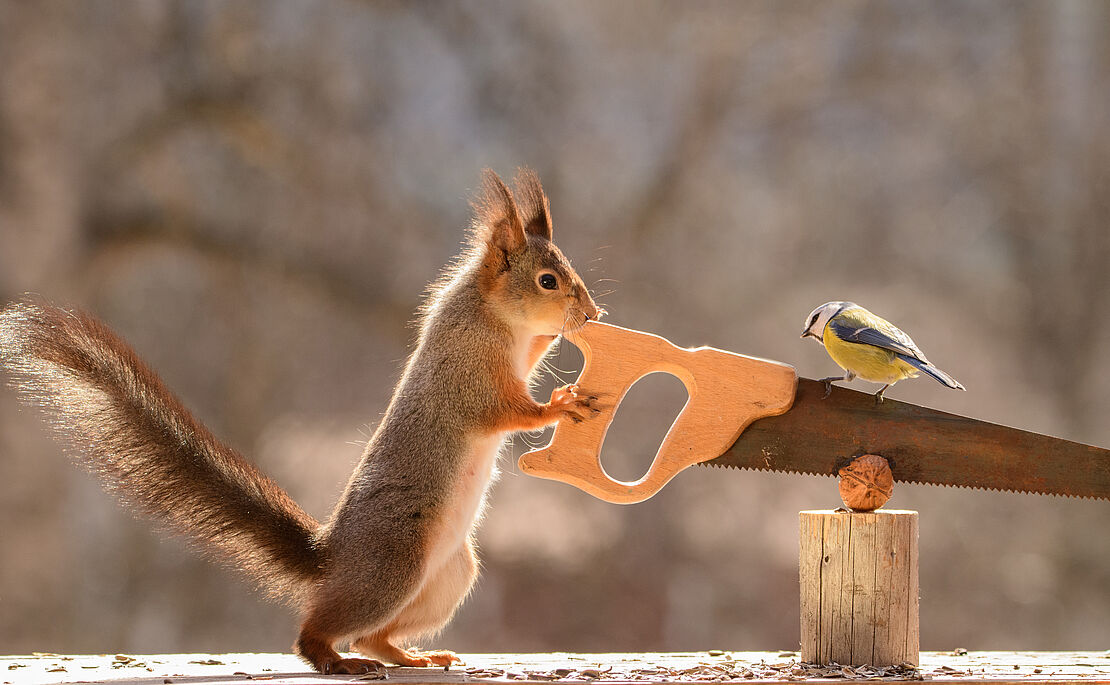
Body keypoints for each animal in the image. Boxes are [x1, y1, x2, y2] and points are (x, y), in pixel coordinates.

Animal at [0, 168, 601, 675]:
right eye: (548, 281)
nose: (593, 313)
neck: (491, 314)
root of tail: (331, 559)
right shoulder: (468, 374)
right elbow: (504, 411)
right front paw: (560, 404)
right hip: (394, 566)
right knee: (321, 632)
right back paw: (334, 659)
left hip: (447, 579)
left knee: (371, 636)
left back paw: (409, 656)